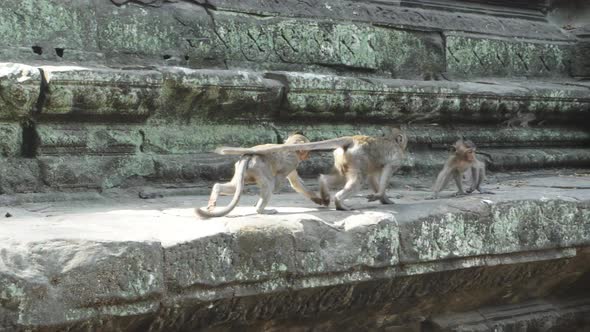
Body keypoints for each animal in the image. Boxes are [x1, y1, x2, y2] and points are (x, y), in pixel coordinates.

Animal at [220, 129, 410, 210]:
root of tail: (351, 139)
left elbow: (373, 177)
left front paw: (383, 198)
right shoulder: (397, 158)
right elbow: (386, 172)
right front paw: (381, 196)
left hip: (345, 158)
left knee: (341, 177)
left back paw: (325, 191)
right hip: (357, 157)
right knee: (357, 181)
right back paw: (340, 202)